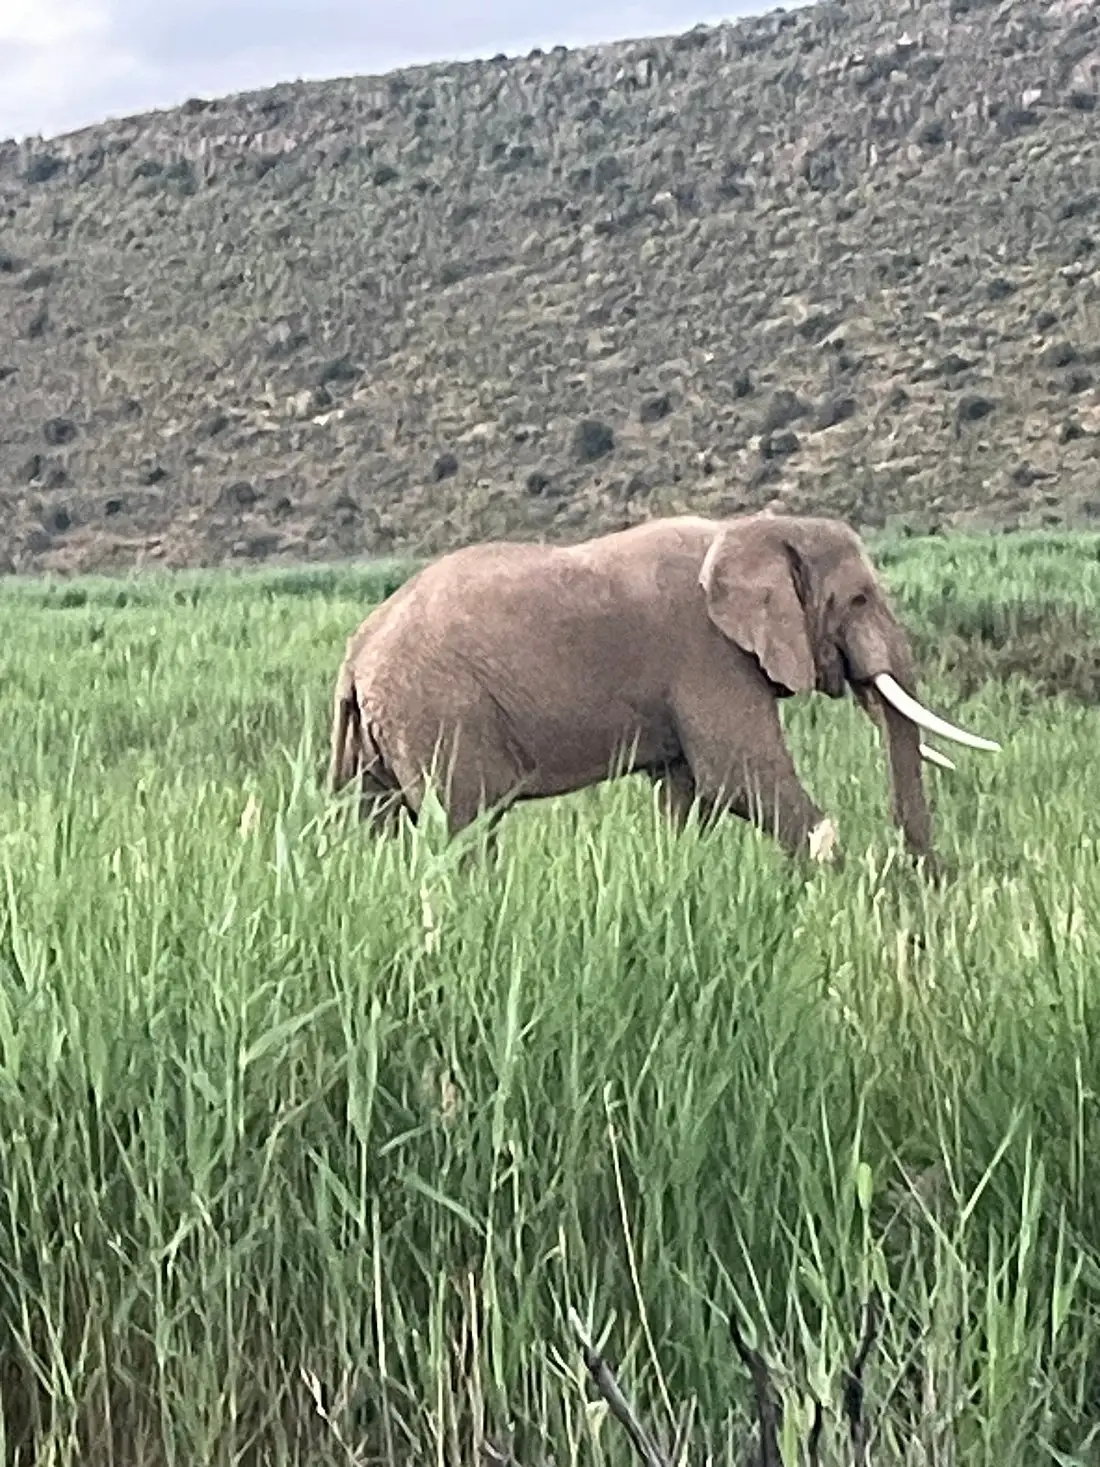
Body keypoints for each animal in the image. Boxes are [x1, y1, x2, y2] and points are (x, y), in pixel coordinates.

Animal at [325, 513, 997, 862]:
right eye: (858, 599)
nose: (924, 878)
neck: (754, 527)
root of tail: (356, 656)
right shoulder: (706, 654)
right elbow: (740, 778)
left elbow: (687, 795)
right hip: (438, 711)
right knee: (464, 826)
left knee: (373, 825)